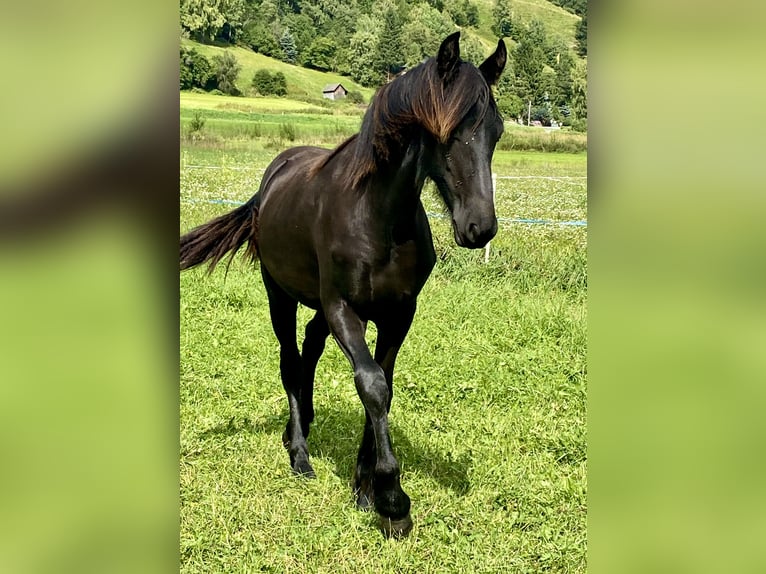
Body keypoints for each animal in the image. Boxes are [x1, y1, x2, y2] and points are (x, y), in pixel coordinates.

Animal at [180, 32, 507, 538]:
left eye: (497, 131)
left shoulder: (398, 314)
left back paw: (302, 427)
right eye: (446, 132)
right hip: (281, 296)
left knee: (309, 350)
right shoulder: (342, 309)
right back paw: (299, 453)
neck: (378, 219)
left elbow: (383, 385)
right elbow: (370, 384)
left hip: (319, 307)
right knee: (290, 360)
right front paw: (393, 500)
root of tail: (273, 176)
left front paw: (365, 487)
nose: (479, 228)